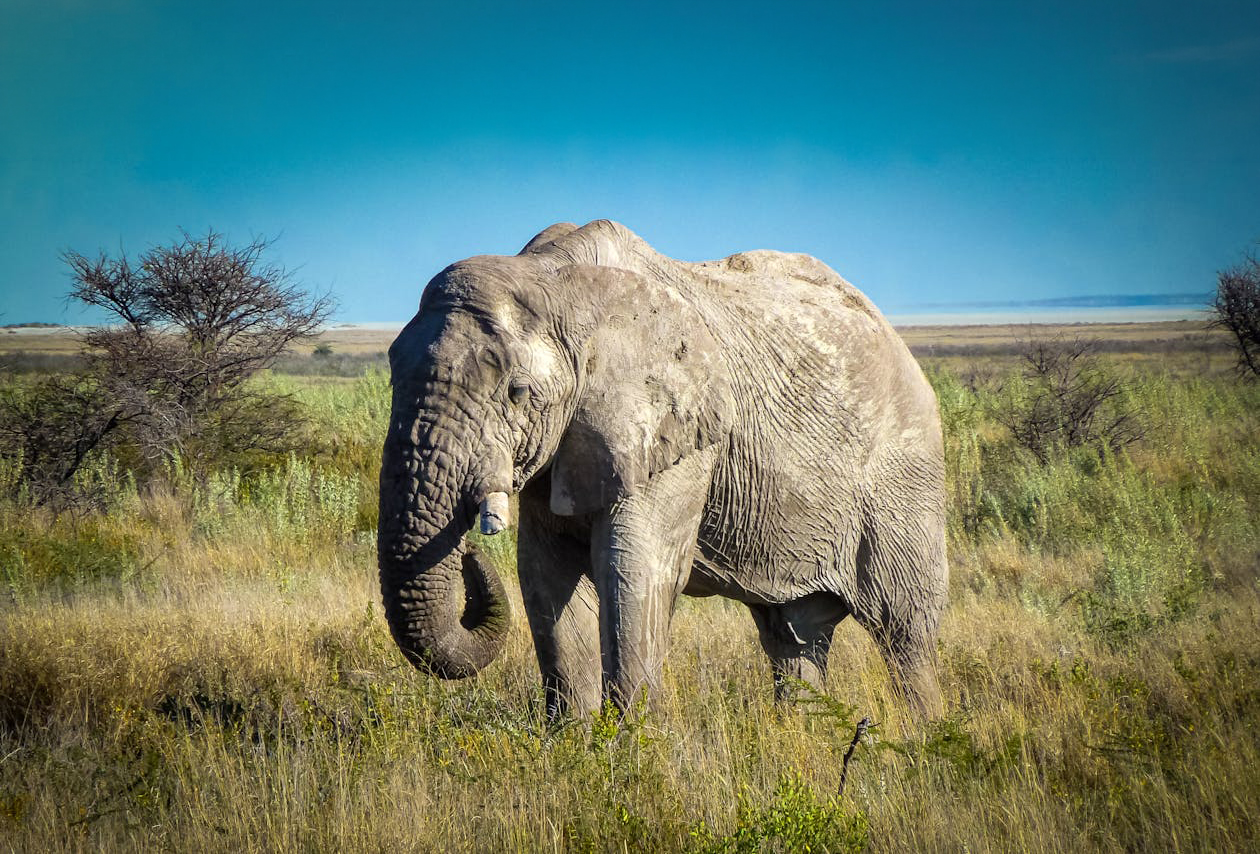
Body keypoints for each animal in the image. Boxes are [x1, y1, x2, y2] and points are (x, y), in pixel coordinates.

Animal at [378, 220, 948, 719]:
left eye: (518, 392)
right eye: (391, 381)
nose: (470, 552)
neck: (558, 281)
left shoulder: (680, 437)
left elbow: (633, 569)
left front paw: (635, 751)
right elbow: (545, 575)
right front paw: (572, 744)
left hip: (903, 477)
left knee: (904, 632)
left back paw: (923, 740)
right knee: (793, 637)